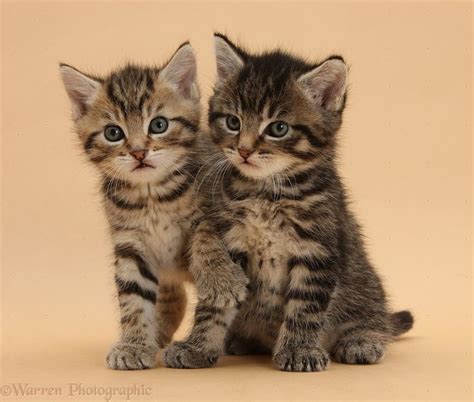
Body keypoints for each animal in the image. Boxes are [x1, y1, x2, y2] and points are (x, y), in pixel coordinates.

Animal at [59, 43, 200, 370]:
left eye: (159, 125)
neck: (152, 197)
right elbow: (134, 298)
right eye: (113, 133)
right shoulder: (130, 244)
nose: (138, 152)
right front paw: (134, 345)